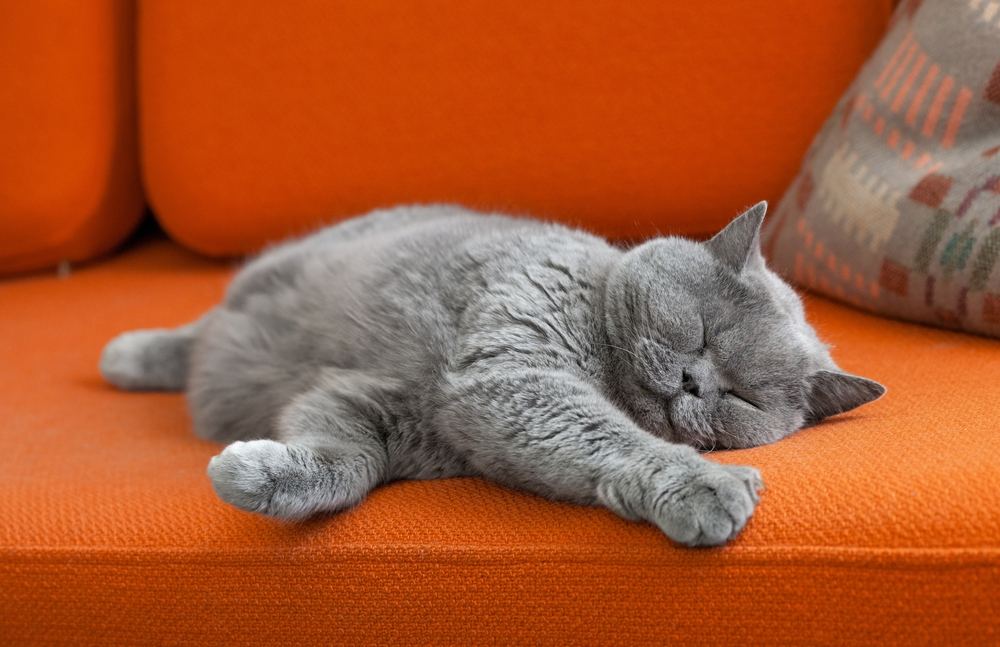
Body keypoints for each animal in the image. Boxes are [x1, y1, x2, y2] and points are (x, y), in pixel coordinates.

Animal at [99, 202, 884, 548]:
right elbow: (613, 434)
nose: (694, 382)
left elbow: (346, 463)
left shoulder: (389, 414)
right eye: (699, 329)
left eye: (742, 397)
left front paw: (259, 475)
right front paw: (708, 486)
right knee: (197, 328)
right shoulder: (512, 371)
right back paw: (125, 355)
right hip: (274, 269)